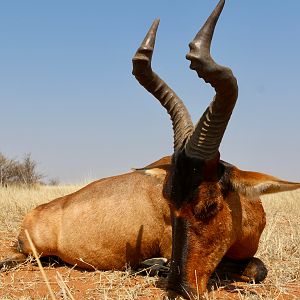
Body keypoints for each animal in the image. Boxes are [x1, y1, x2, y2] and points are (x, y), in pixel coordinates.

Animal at [0, 0, 300, 298]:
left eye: (210, 204)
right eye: (168, 201)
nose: (179, 289)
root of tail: (35, 213)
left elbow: (258, 268)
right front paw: (154, 265)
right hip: (33, 252)